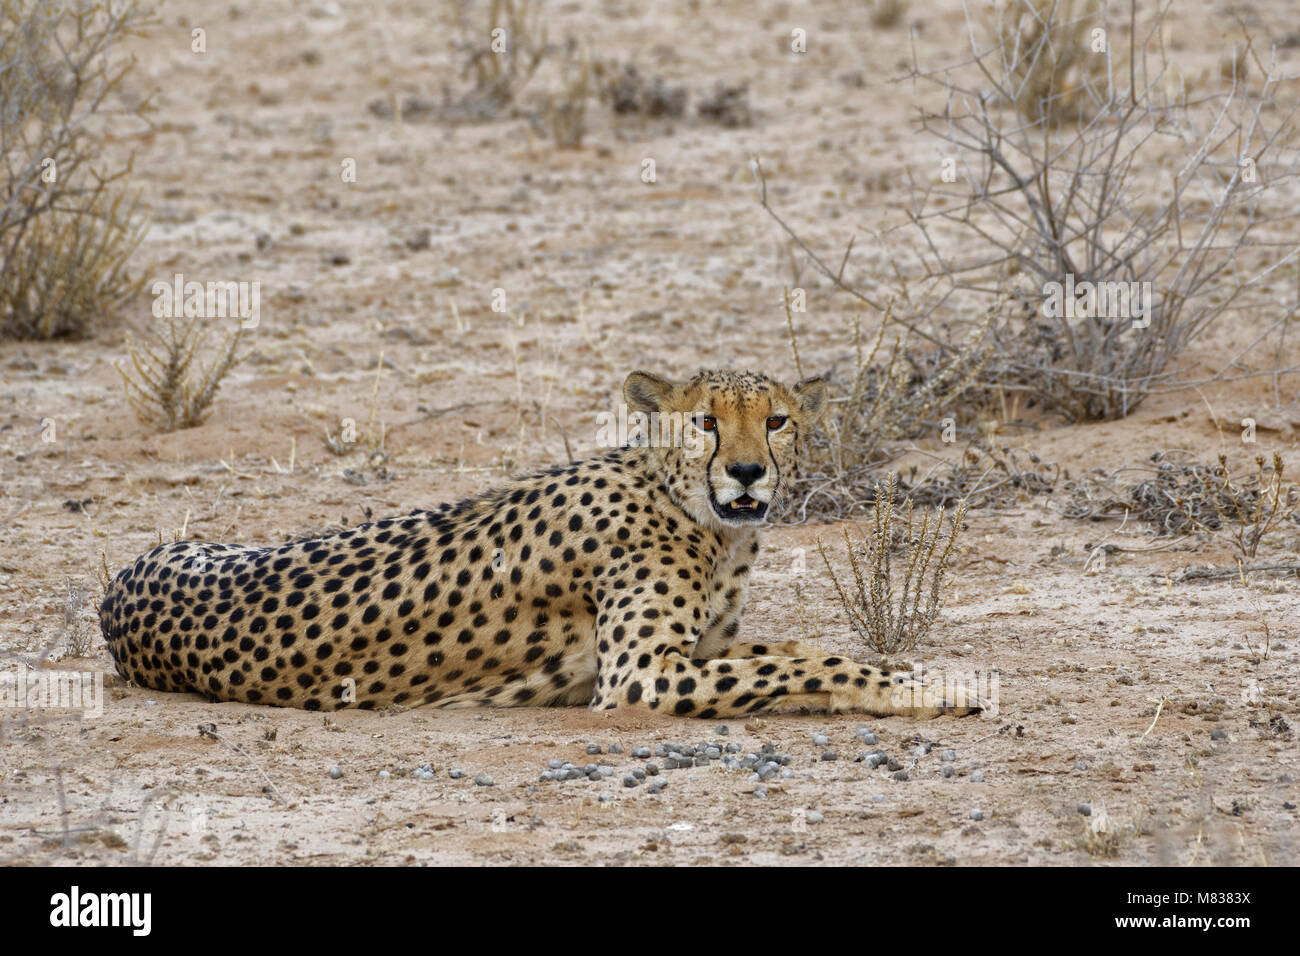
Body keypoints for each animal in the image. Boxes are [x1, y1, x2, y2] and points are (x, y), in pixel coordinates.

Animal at [101, 371, 977, 717]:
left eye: (779, 420)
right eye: (704, 421)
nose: (748, 471)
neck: (697, 516)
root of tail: (121, 582)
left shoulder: (699, 648)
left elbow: (797, 647)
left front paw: (904, 673)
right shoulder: (638, 678)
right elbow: (802, 662)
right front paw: (928, 687)